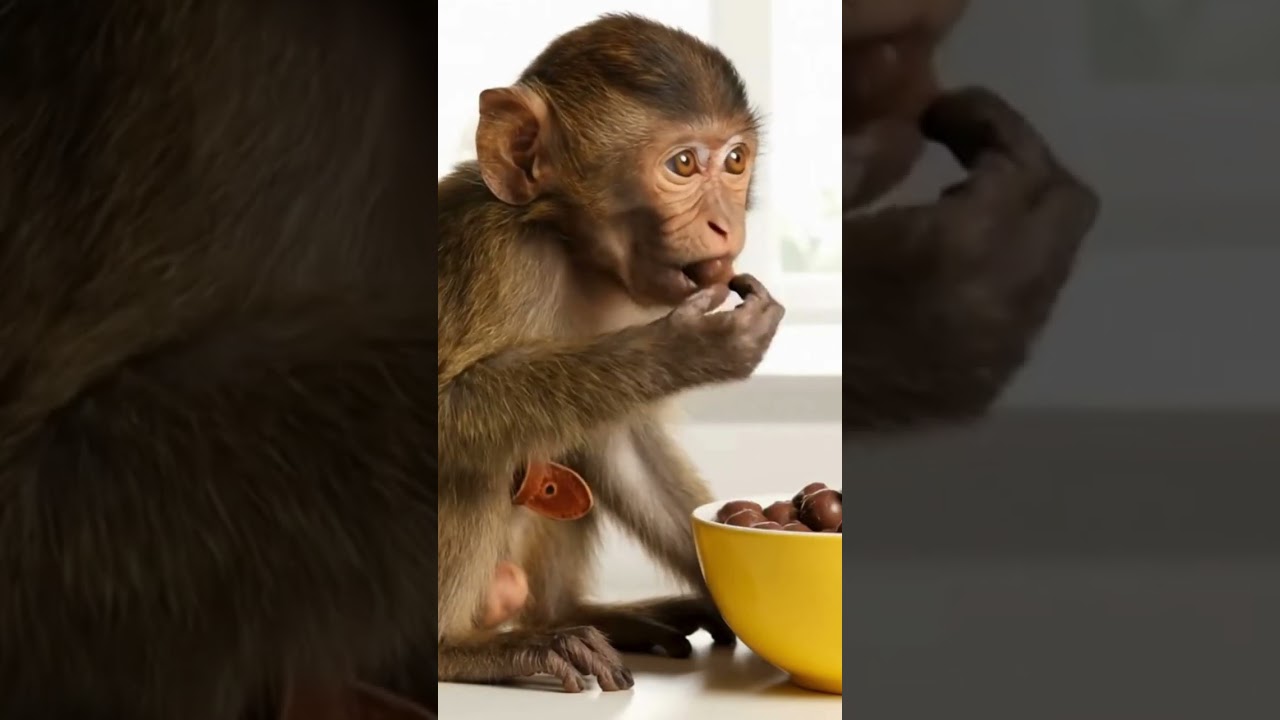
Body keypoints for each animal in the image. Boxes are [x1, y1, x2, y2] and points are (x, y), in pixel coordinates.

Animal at [436, 13, 779, 693]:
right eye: (682, 164)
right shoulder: (490, 257)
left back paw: (577, 614)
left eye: (734, 160)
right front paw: (688, 349)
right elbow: (440, 411)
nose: (728, 225)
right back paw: (457, 648)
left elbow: (615, 442)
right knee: (478, 455)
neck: (569, 250)